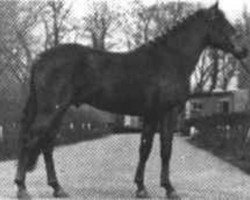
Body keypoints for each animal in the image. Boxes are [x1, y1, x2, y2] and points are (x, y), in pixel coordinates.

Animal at [14, 2, 247, 198]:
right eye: (223, 24)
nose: (243, 50)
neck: (170, 60)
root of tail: (41, 58)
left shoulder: (151, 115)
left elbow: (146, 149)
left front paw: (142, 187)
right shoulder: (165, 112)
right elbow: (164, 150)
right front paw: (168, 189)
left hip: (59, 110)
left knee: (46, 145)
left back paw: (57, 188)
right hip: (51, 110)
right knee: (29, 140)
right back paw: (22, 188)